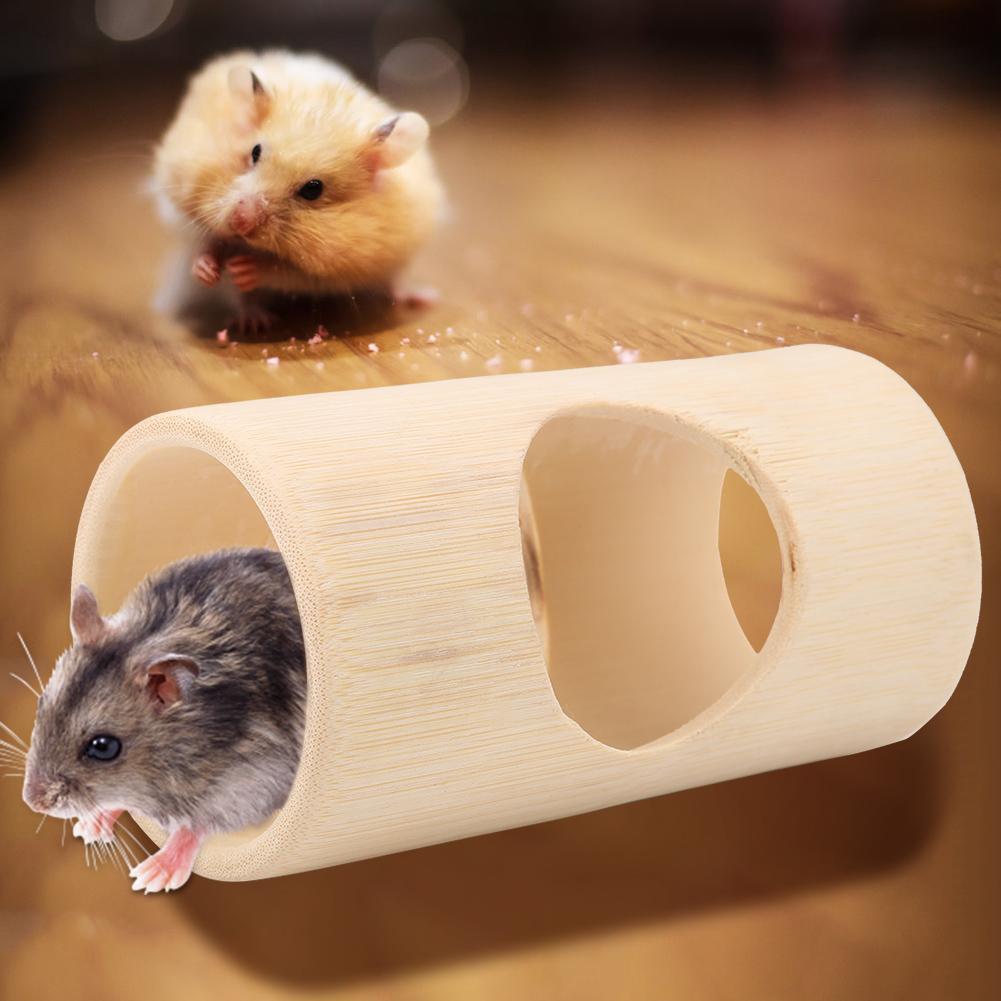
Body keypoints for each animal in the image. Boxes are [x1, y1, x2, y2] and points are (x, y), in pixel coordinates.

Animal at [21, 548, 306, 893]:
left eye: (103, 747)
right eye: (41, 703)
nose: (33, 802)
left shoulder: (254, 779)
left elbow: (195, 825)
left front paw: (151, 876)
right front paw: (88, 827)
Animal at [152, 49, 445, 331]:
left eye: (313, 189)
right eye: (254, 152)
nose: (240, 222)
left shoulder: (338, 268)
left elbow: (290, 274)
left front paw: (245, 268)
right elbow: (206, 242)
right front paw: (206, 269)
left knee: (397, 281)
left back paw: (422, 298)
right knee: (241, 297)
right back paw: (254, 322)